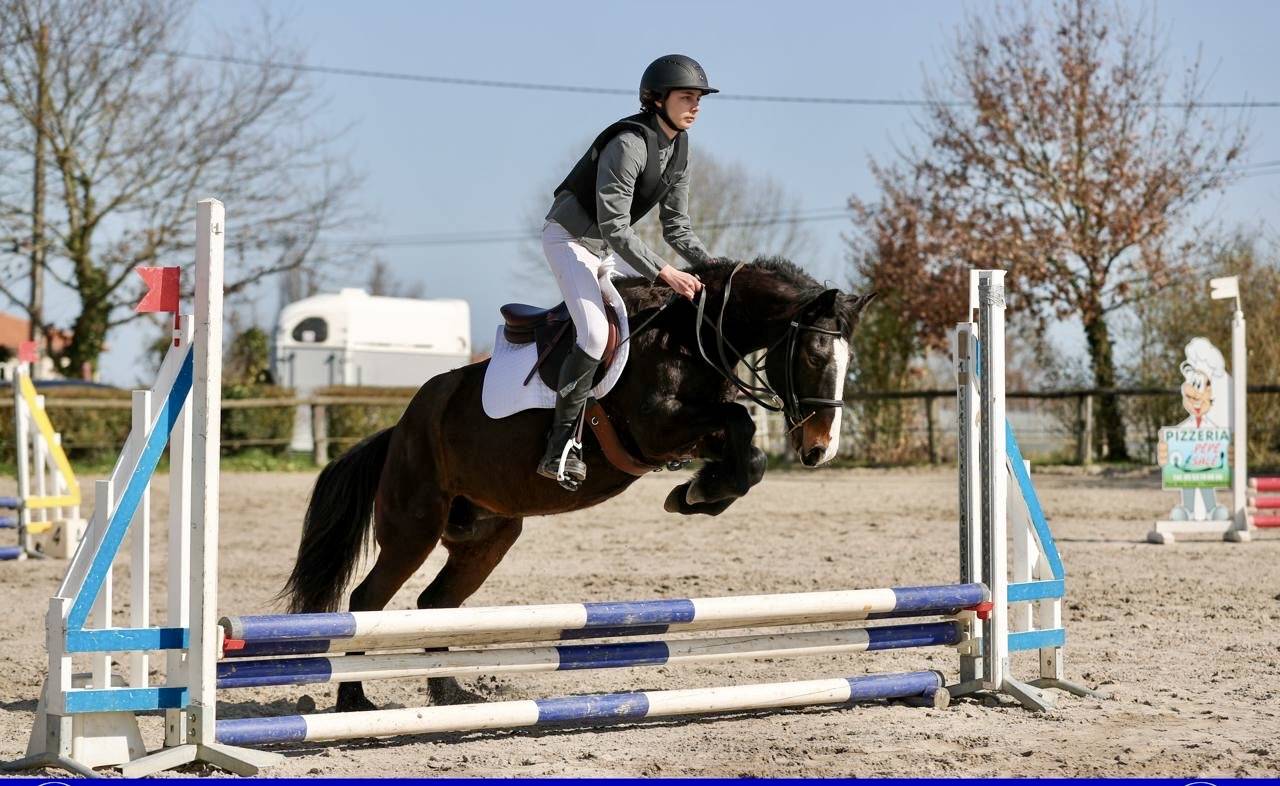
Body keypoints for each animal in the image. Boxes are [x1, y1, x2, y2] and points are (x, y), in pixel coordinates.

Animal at [280, 257, 875, 712]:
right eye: (815, 355)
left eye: (849, 362)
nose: (820, 449)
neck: (690, 336)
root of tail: (400, 428)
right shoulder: (656, 429)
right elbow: (740, 424)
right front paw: (697, 493)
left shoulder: (692, 432)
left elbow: (745, 446)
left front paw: (696, 493)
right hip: (414, 528)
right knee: (367, 601)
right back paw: (354, 701)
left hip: (489, 537)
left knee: (435, 603)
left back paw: (450, 694)